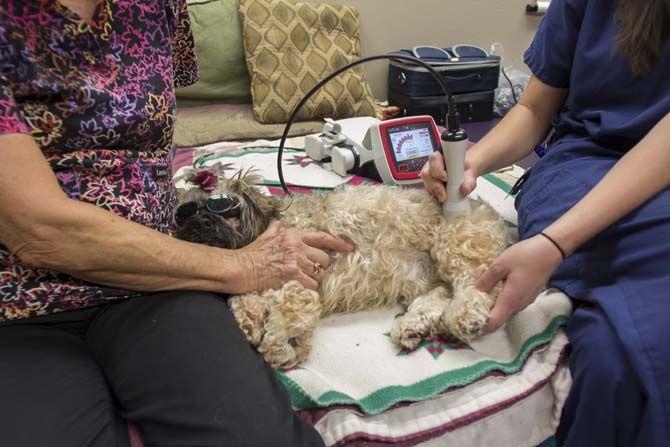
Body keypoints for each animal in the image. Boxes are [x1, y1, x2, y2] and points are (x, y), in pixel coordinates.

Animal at [176, 170, 506, 370]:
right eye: (184, 213)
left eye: (223, 206)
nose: (200, 221)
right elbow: (244, 303)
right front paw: (254, 323)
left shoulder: (300, 282)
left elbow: (279, 325)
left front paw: (283, 348)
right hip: (424, 278)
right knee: (439, 296)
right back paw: (413, 326)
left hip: (454, 245)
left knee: (478, 286)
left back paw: (465, 316)